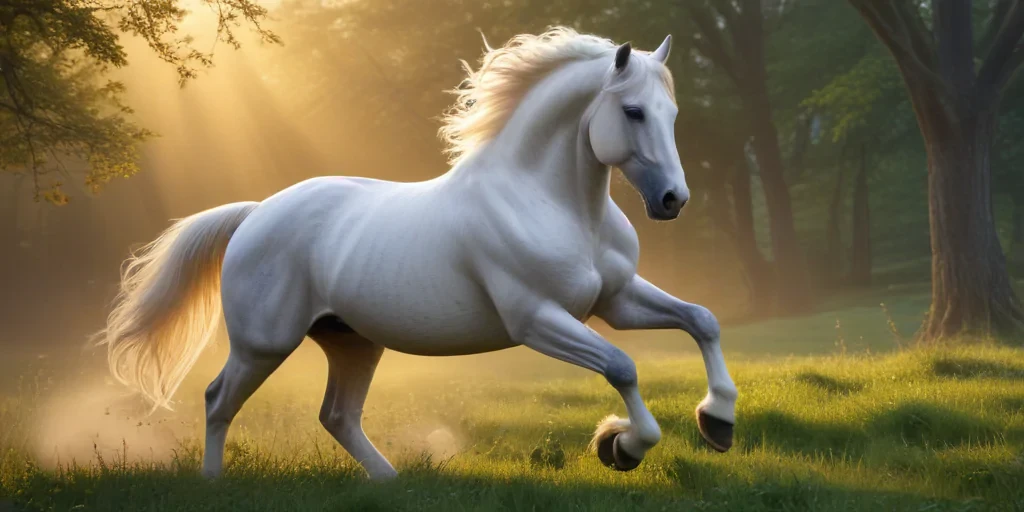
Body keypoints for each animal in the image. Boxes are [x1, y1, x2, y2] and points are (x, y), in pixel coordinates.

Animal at [99, 27, 738, 479]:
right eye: (632, 111)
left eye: (671, 113)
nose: (673, 200)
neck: (557, 206)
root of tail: (256, 214)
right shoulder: (537, 319)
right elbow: (622, 366)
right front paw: (620, 446)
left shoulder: (616, 301)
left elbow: (701, 320)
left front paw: (718, 421)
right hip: (264, 343)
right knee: (217, 400)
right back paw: (214, 483)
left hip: (353, 342)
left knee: (337, 415)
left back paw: (391, 481)